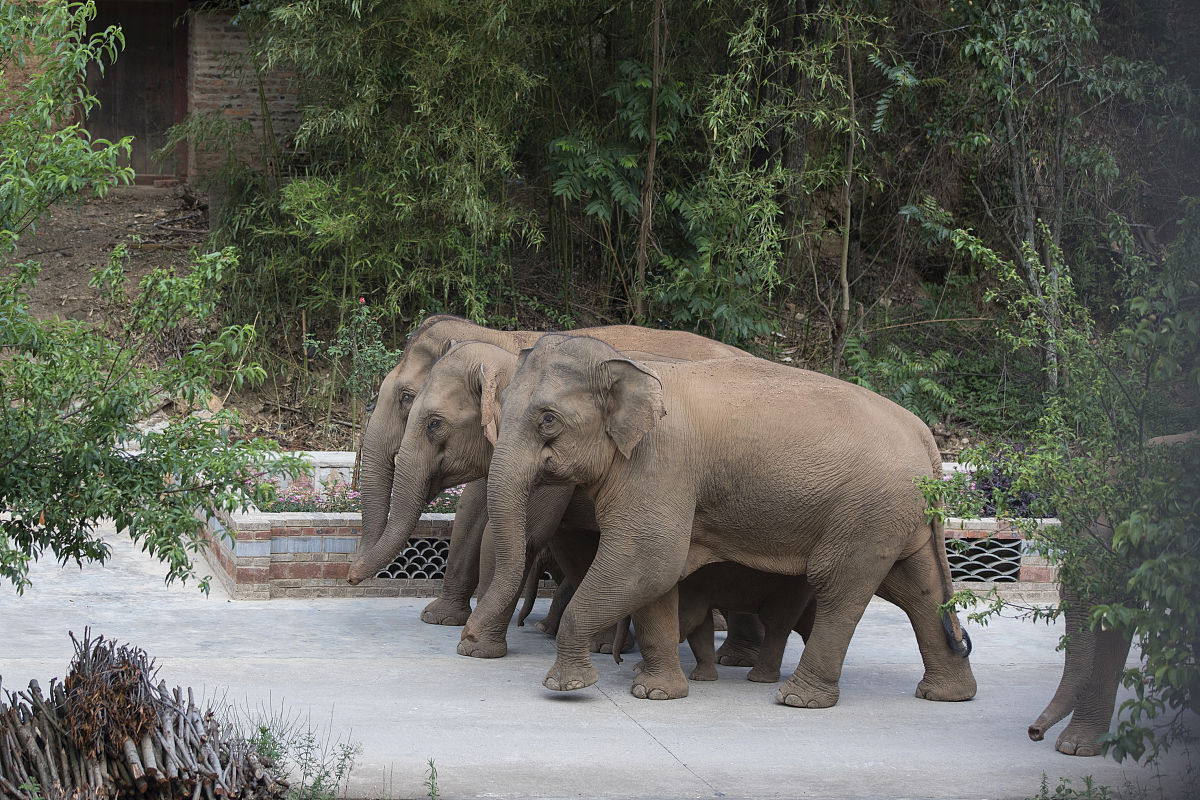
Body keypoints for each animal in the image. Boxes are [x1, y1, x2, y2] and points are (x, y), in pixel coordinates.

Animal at [462, 334, 976, 706]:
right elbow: (657, 576)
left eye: (548, 420)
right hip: (896, 515)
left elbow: (648, 559)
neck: (633, 367)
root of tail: (928, 441)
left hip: (868, 510)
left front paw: (566, 686)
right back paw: (947, 695)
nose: (468, 645)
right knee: (918, 589)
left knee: (839, 585)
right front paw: (656, 693)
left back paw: (798, 699)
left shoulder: (660, 466)